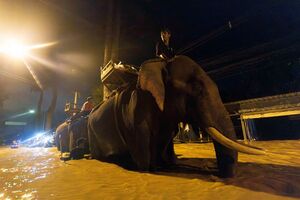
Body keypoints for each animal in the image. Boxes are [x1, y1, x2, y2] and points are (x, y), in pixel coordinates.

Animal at [88, 55, 264, 177]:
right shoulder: (134, 112)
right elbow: (142, 148)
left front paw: (166, 165)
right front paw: (148, 170)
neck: (160, 64)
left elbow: (167, 138)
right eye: (197, 88)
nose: (214, 171)